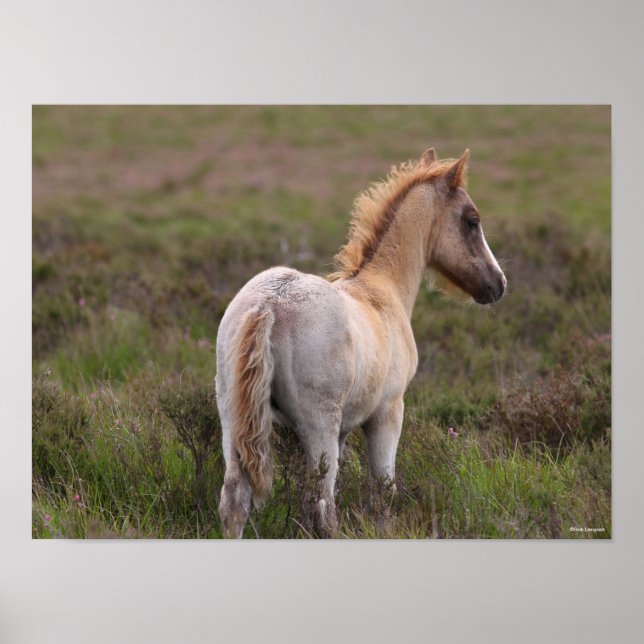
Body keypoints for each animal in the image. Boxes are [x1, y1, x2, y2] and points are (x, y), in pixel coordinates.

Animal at [216, 147, 507, 538]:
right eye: (472, 221)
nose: (498, 283)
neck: (380, 289)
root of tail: (270, 304)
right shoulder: (388, 413)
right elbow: (383, 491)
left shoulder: (343, 429)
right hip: (318, 424)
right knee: (322, 506)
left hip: (232, 418)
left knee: (236, 500)